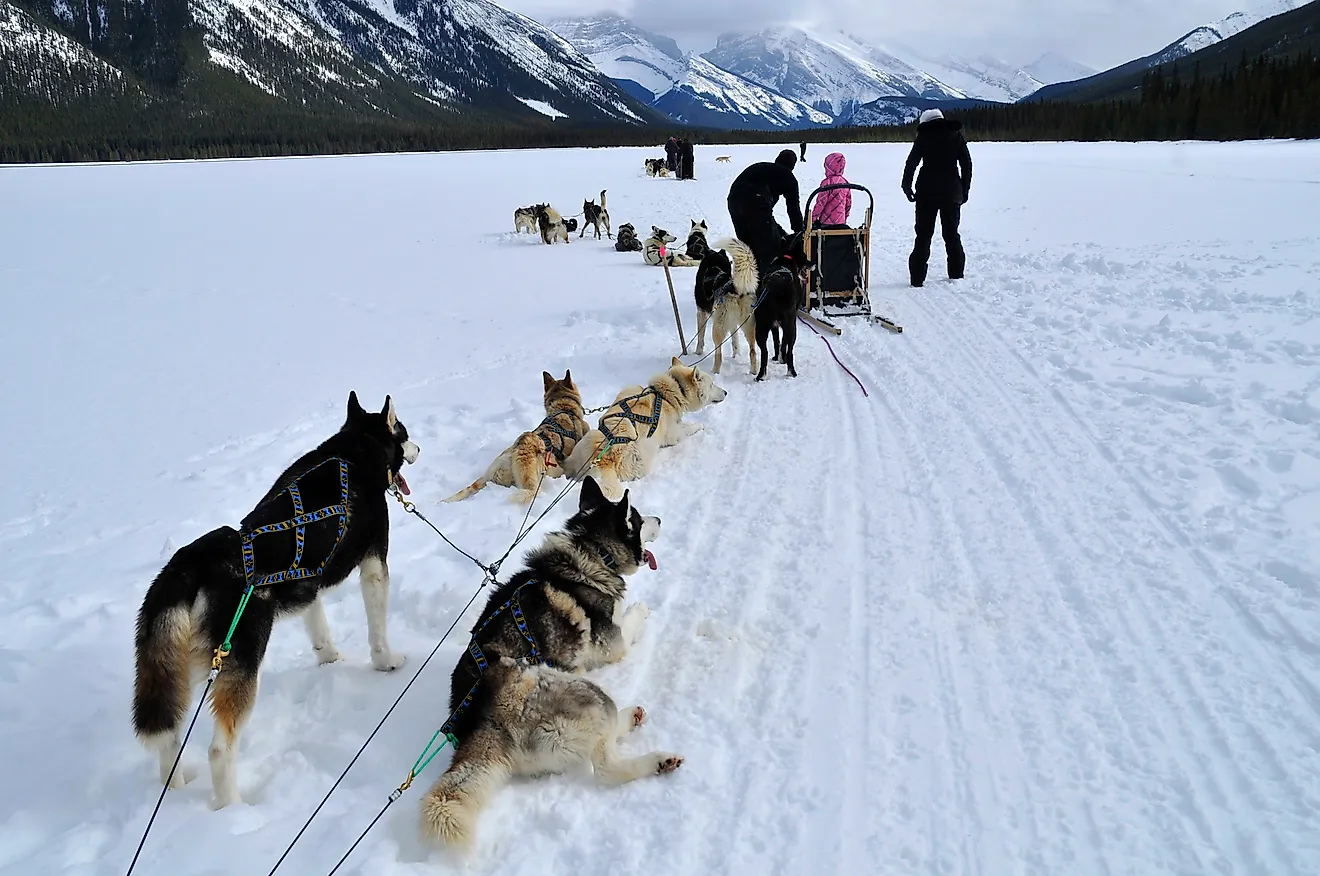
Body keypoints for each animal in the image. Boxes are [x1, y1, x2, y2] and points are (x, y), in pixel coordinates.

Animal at [128, 393, 417, 802]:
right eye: (405, 433)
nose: (420, 447)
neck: (353, 450)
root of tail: (192, 564)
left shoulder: (308, 583)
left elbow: (319, 629)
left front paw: (329, 658)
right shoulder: (375, 562)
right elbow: (377, 630)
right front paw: (387, 662)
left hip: (183, 669)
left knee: (170, 737)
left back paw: (176, 790)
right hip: (241, 662)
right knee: (220, 750)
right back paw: (231, 807)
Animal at [557, 358, 723, 498]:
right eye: (712, 384)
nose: (726, 392)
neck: (665, 394)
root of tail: (604, 460)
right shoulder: (672, 433)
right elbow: (686, 429)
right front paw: (698, 425)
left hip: (588, 438)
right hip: (645, 449)